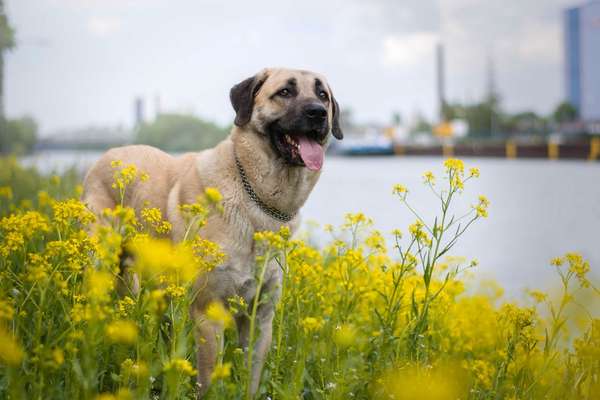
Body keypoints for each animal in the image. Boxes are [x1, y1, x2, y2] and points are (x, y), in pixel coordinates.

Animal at [81, 67, 342, 396]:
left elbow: (251, 379)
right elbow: (208, 380)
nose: (318, 112)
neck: (255, 198)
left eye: (323, 95)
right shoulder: (208, 313)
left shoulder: (260, 318)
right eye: (285, 92)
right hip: (100, 264)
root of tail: (107, 154)